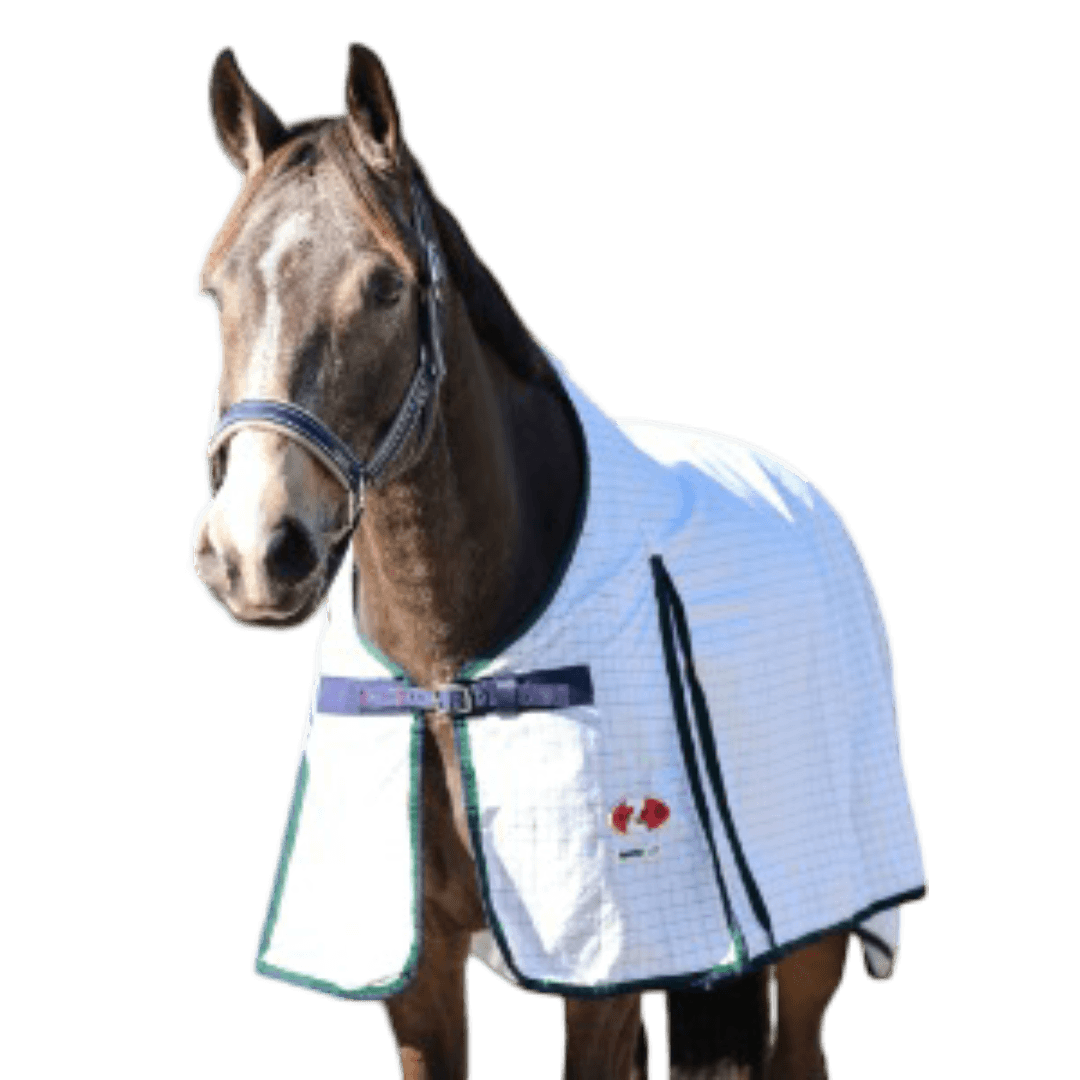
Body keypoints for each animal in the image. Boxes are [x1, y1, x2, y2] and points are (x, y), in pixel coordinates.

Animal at [189, 42, 926, 1080]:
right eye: (215, 289)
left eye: (384, 286)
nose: (254, 551)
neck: (447, 663)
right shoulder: (418, 981)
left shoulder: (600, 982)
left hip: (812, 946)